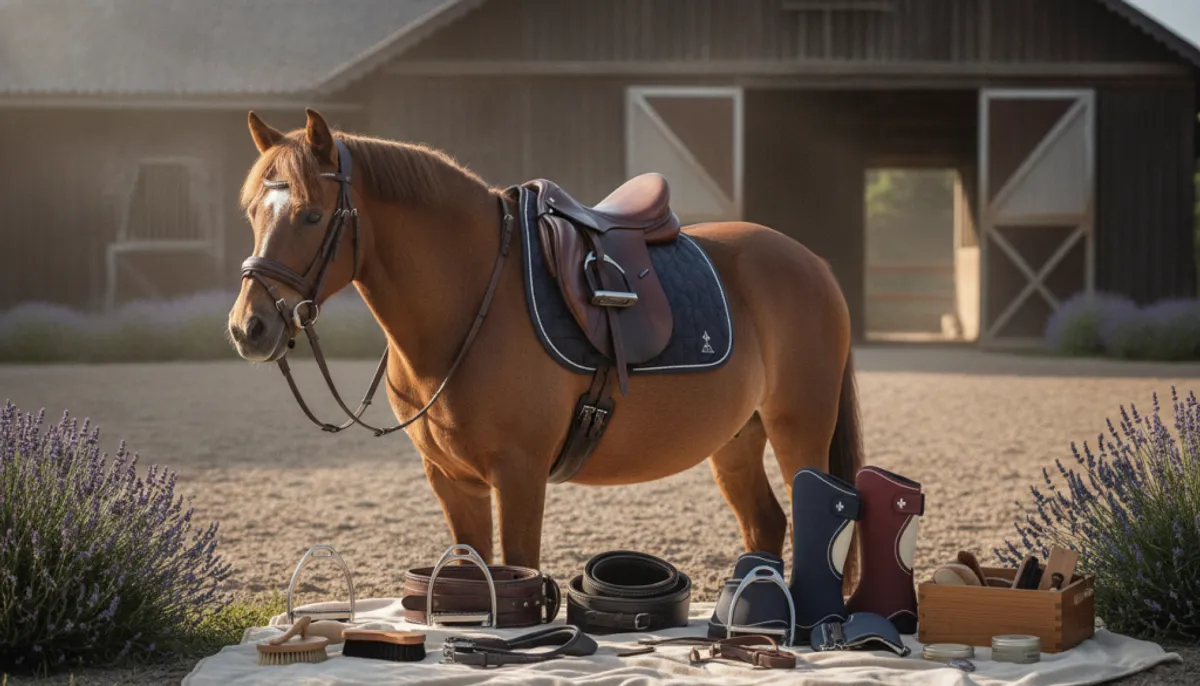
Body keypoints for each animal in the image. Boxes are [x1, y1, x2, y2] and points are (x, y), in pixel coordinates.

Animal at [226, 108, 863, 591]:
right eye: (254, 210)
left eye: (312, 214)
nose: (248, 327)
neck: (473, 301)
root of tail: (812, 263)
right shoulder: (451, 480)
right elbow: (473, 567)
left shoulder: (519, 473)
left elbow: (519, 566)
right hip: (736, 439)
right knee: (766, 525)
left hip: (799, 429)